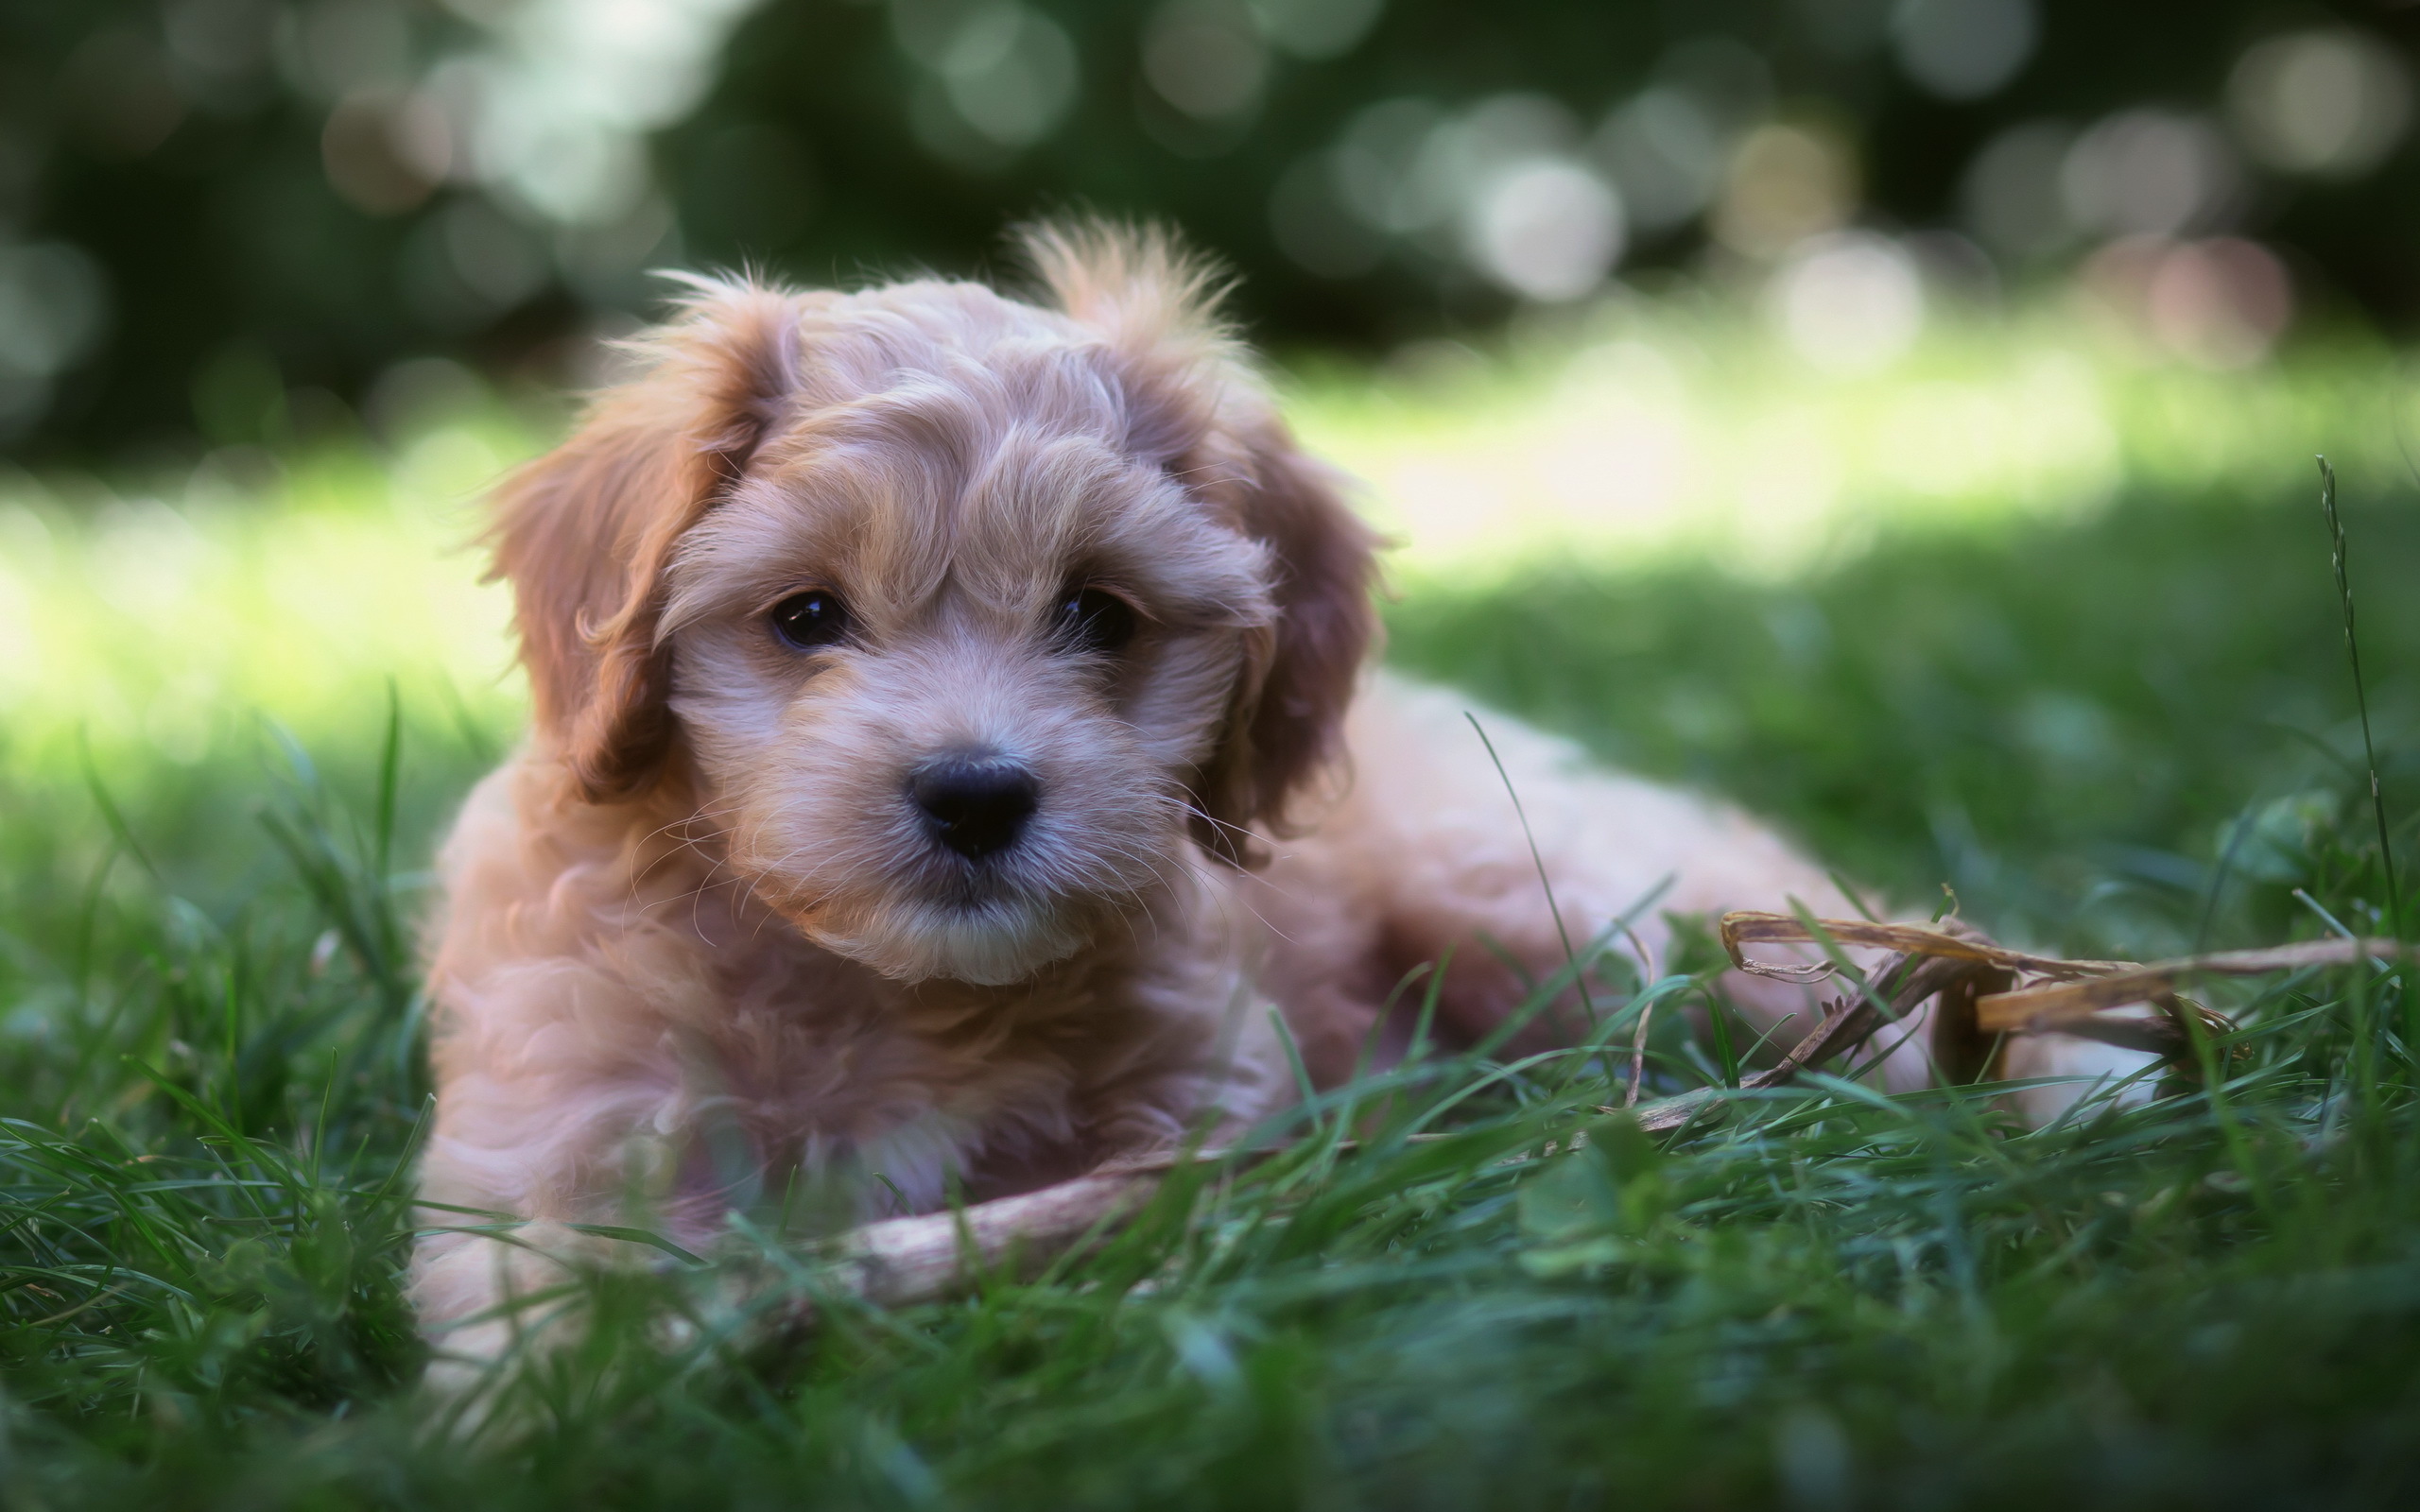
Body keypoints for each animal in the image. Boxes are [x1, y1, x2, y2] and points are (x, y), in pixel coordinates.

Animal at [406, 221, 2129, 1364]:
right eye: (806, 617)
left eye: (1099, 613)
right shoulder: (561, 1137)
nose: (975, 795)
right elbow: (554, 1319)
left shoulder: (1199, 1109)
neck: (889, 994)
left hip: (1566, 902)